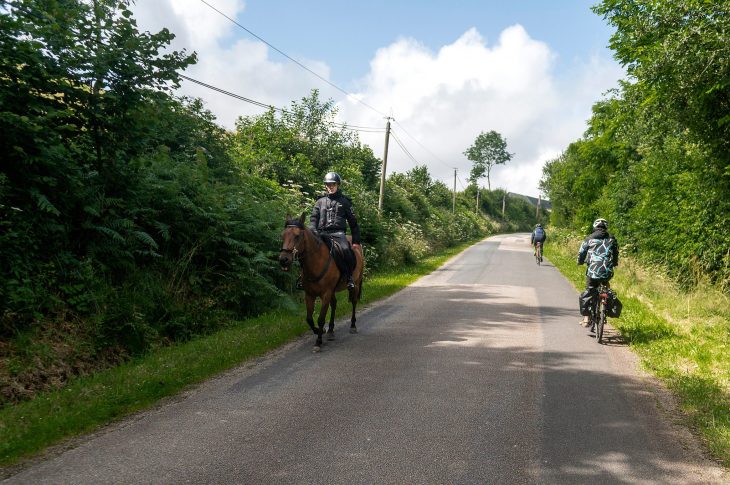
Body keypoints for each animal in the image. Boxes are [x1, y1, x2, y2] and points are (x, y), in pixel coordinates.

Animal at [278, 214, 362, 350]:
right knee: (334, 304)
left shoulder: (325, 294)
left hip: (356, 285)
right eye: (283, 235)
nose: (283, 260)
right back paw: (331, 331)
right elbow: (309, 319)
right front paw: (320, 331)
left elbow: (321, 318)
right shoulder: (309, 295)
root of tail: (357, 247)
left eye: (297, 235)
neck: (316, 263)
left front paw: (318, 341)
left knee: (354, 302)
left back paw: (353, 326)